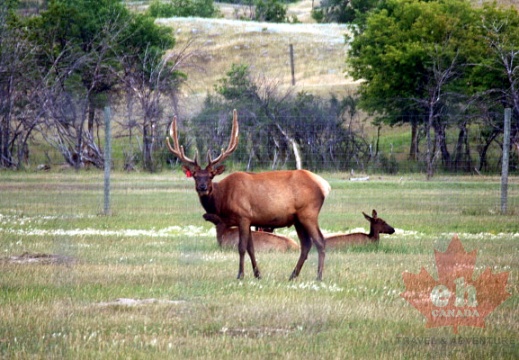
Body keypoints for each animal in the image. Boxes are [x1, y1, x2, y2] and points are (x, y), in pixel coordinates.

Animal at [167, 111, 332, 280]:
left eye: (211, 175)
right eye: (195, 175)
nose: (202, 187)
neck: (222, 200)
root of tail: (324, 185)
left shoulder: (243, 216)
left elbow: (241, 247)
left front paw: (240, 274)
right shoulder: (251, 220)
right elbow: (250, 248)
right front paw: (257, 274)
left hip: (309, 213)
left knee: (320, 241)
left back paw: (318, 276)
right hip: (297, 218)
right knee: (306, 244)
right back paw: (293, 275)